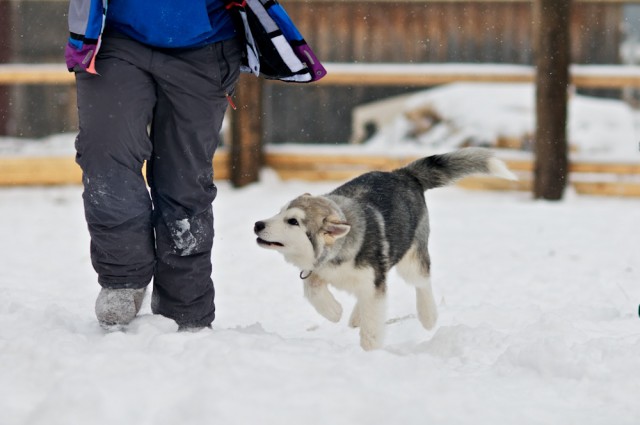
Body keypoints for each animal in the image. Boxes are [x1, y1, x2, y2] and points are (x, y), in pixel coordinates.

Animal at [252, 147, 516, 350]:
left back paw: (428, 315)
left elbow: (372, 323)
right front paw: (333, 311)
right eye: (280, 212)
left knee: (422, 282)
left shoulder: (372, 283)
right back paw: (355, 315)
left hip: (411, 260)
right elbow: (312, 288)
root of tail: (403, 174)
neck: (338, 252)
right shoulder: (319, 270)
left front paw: (370, 354)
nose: (258, 224)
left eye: (293, 222)